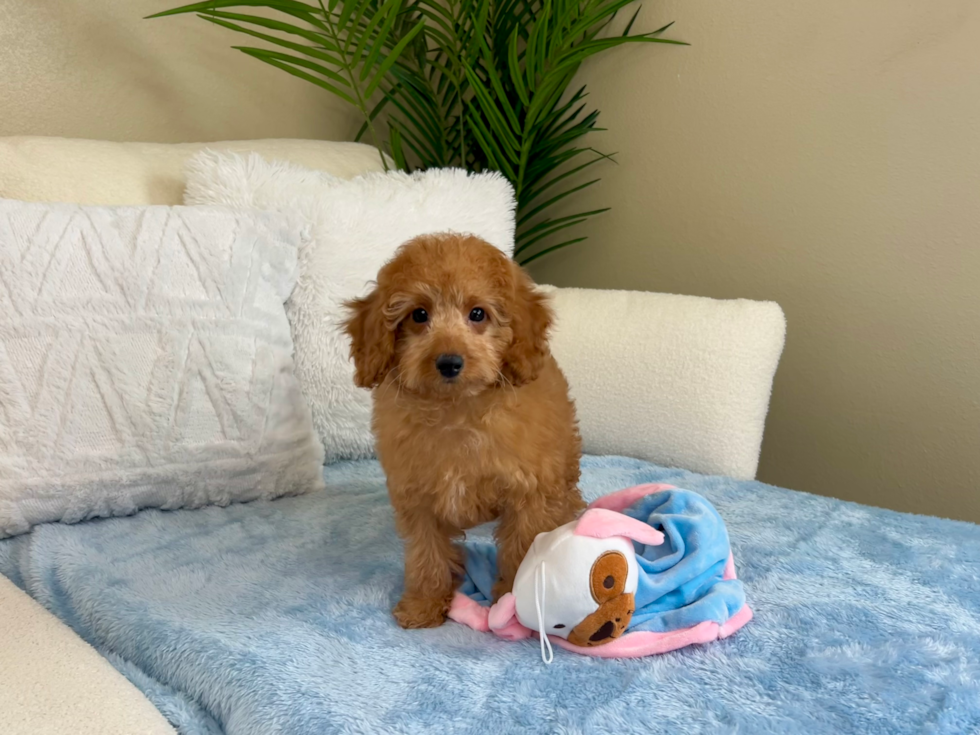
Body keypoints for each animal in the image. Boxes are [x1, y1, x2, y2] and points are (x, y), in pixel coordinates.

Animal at [346, 233, 580, 628]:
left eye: (478, 314)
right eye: (419, 315)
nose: (449, 362)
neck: (456, 410)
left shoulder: (529, 492)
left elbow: (522, 547)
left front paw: (513, 601)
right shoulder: (417, 496)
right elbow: (426, 552)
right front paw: (424, 603)